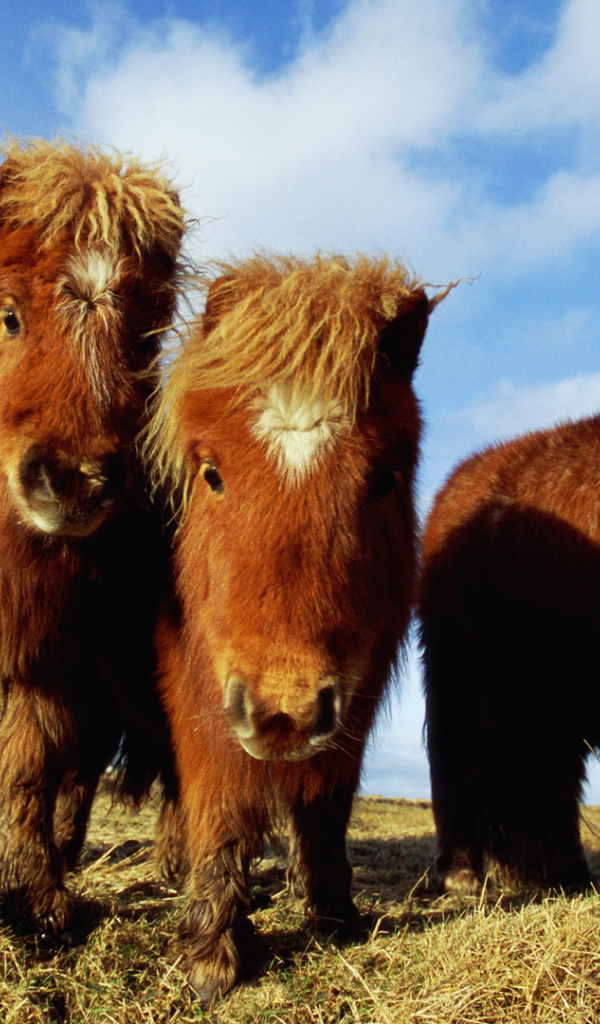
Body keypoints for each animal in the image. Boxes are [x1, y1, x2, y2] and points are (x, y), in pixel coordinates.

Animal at [147, 252, 442, 1003]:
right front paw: (212, 954)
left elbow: (327, 807)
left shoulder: (353, 696)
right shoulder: (202, 687)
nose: (285, 712)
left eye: (384, 478)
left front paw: (336, 917)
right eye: (212, 473)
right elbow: (222, 803)